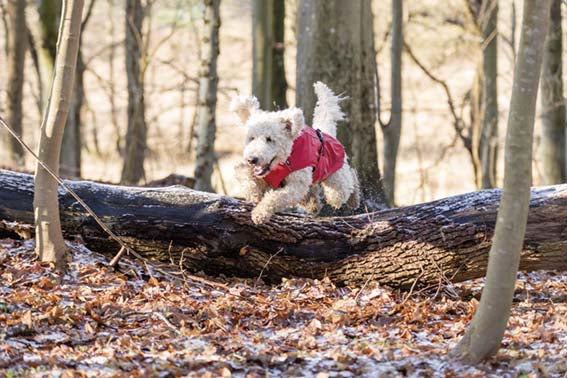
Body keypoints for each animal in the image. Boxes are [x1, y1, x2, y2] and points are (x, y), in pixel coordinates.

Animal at [230, 82, 360, 224]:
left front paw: (260, 213)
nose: (252, 159)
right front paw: (253, 193)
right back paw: (314, 204)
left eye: (269, 139)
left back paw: (353, 198)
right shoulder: (262, 176)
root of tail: (327, 133)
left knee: (347, 184)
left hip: (336, 181)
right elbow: (242, 173)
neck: (283, 161)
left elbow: (276, 197)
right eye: (251, 138)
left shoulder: (296, 185)